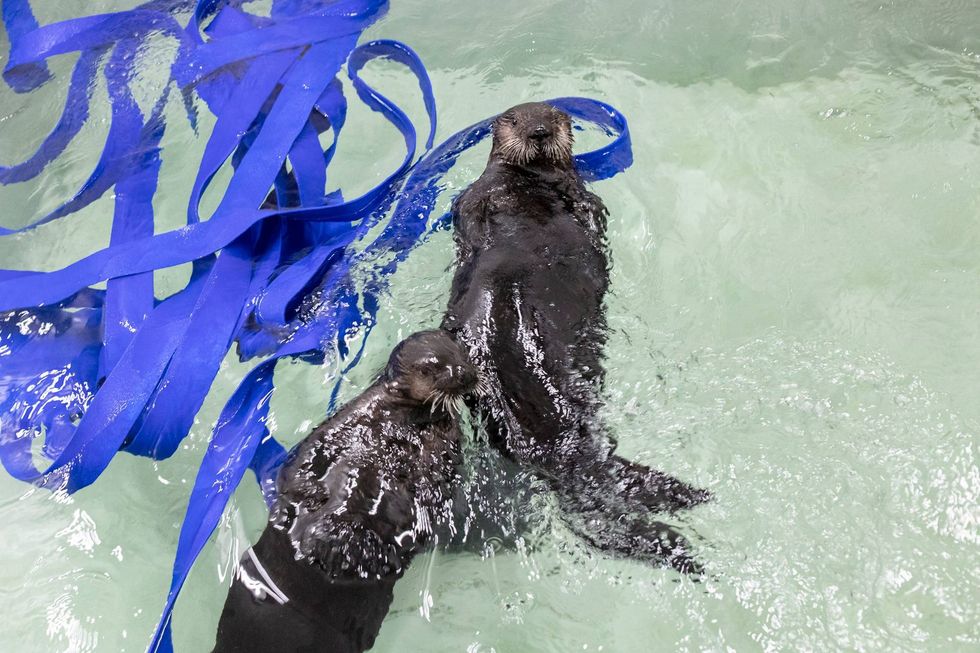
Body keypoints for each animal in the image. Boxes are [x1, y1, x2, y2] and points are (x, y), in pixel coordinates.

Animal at [442, 102, 709, 573]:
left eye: (551, 116)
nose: (539, 131)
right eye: (516, 120)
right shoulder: (486, 193)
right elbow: (474, 211)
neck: (527, 184)